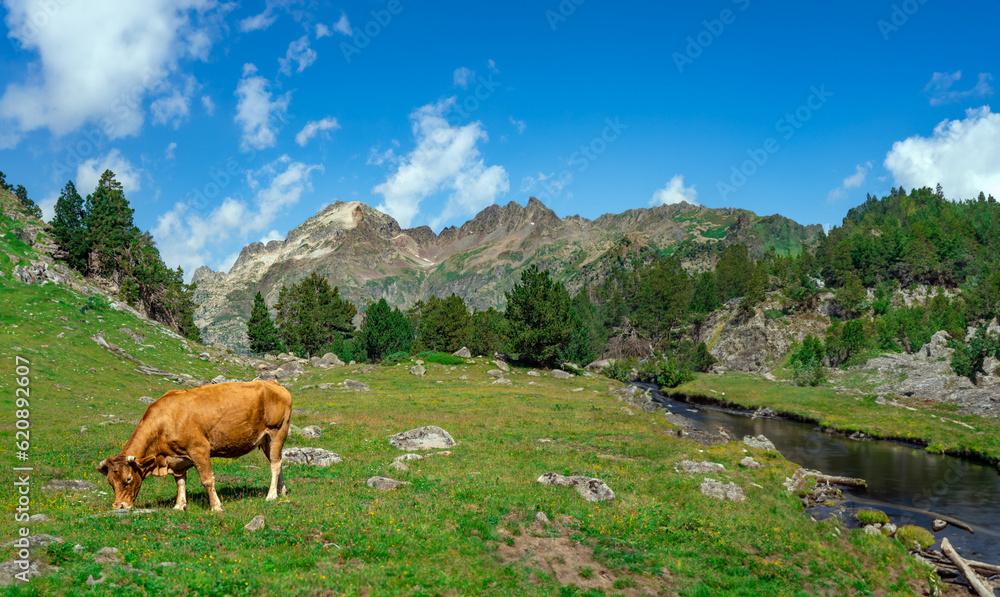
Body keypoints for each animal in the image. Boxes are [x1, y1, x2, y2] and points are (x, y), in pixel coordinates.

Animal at [97, 380, 292, 512]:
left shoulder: (199, 449)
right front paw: (179, 505)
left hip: (277, 431)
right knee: (279, 461)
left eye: (129, 479)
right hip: (266, 441)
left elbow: (207, 480)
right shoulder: (176, 458)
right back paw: (282, 491)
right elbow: (180, 482)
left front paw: (216, 506)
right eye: (110, 482)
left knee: (275, 464)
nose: (118, 506)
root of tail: (273, 383)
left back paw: (271, 495)